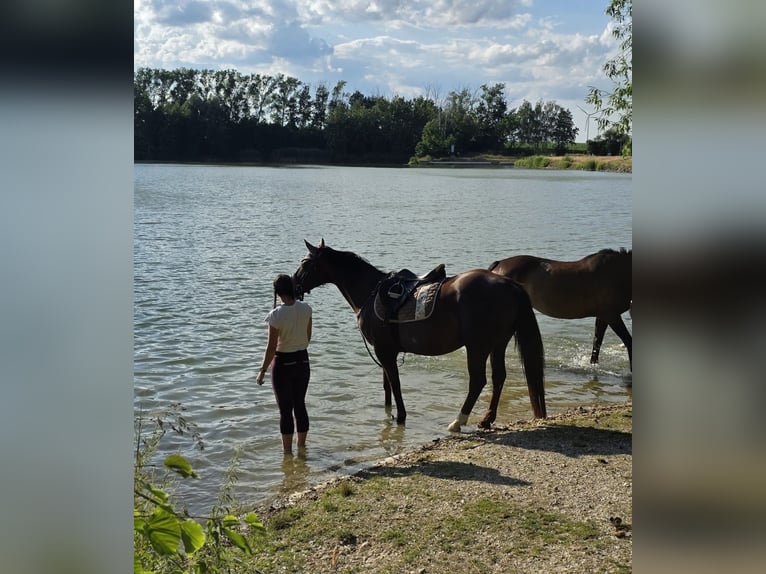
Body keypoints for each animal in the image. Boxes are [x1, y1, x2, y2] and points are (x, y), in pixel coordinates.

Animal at [292, 240, 546, 432]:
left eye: (305, 262)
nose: (293, 284)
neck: (370, 291)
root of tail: (510, 284)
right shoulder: (385, 351)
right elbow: (387, 385)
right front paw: (388, 413)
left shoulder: (384, 351)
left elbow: (395, 383)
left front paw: (401, 416)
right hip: (498, 344)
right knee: (499, 377)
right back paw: (486, 419)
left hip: (478, 347)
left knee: (478, 381)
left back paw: (458, 421)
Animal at [488, 248, 632, 370]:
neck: (615, 272)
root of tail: (498, 265)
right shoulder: (611, 315)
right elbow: (628, 341)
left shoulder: (603, 316)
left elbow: (597, 343)